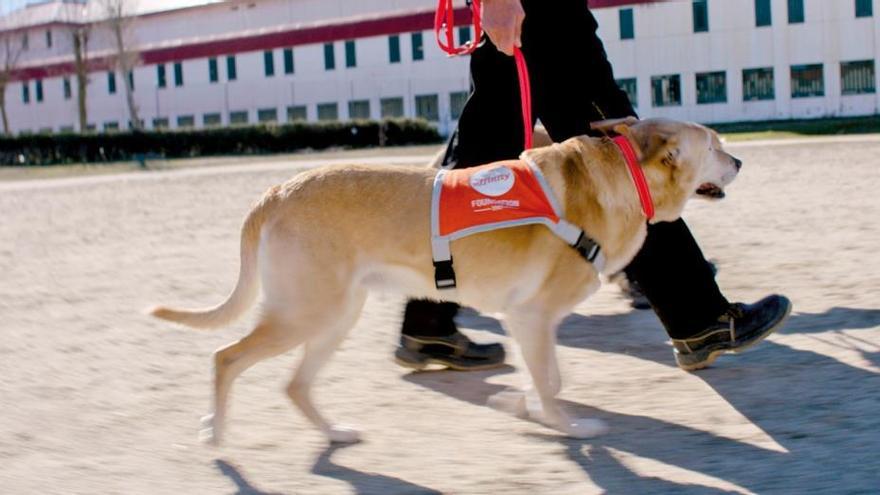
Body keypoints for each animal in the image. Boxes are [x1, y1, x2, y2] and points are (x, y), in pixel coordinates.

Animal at [151, 118, 744, 444]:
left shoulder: (527, 323)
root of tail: (276, 191)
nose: (738, 159)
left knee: (294, 385)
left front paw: (527, 408)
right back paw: (217, 431)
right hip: (306, 314)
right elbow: (551, 383)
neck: (623, 174)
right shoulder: (531, 316)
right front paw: (567, 427)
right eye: (715, 145)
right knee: (224, 357)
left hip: (335, 317)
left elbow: (545, 379)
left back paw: (335, 433)